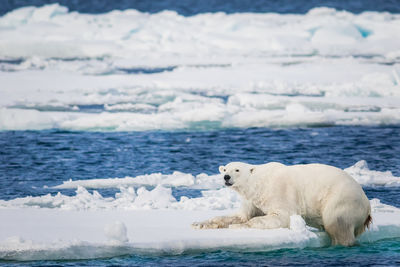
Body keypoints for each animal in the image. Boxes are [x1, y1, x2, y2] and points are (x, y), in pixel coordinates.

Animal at [192, 161, 370, 247]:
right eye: (225, 169)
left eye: (237, 170)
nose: (226, 177)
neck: (260, 183)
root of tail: (367, 205)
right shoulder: (252, 200)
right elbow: (240, 215)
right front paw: (199, 224)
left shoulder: (280, 192)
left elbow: (281, 216)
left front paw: (237, 227)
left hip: (341, 200)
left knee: (337, 224)